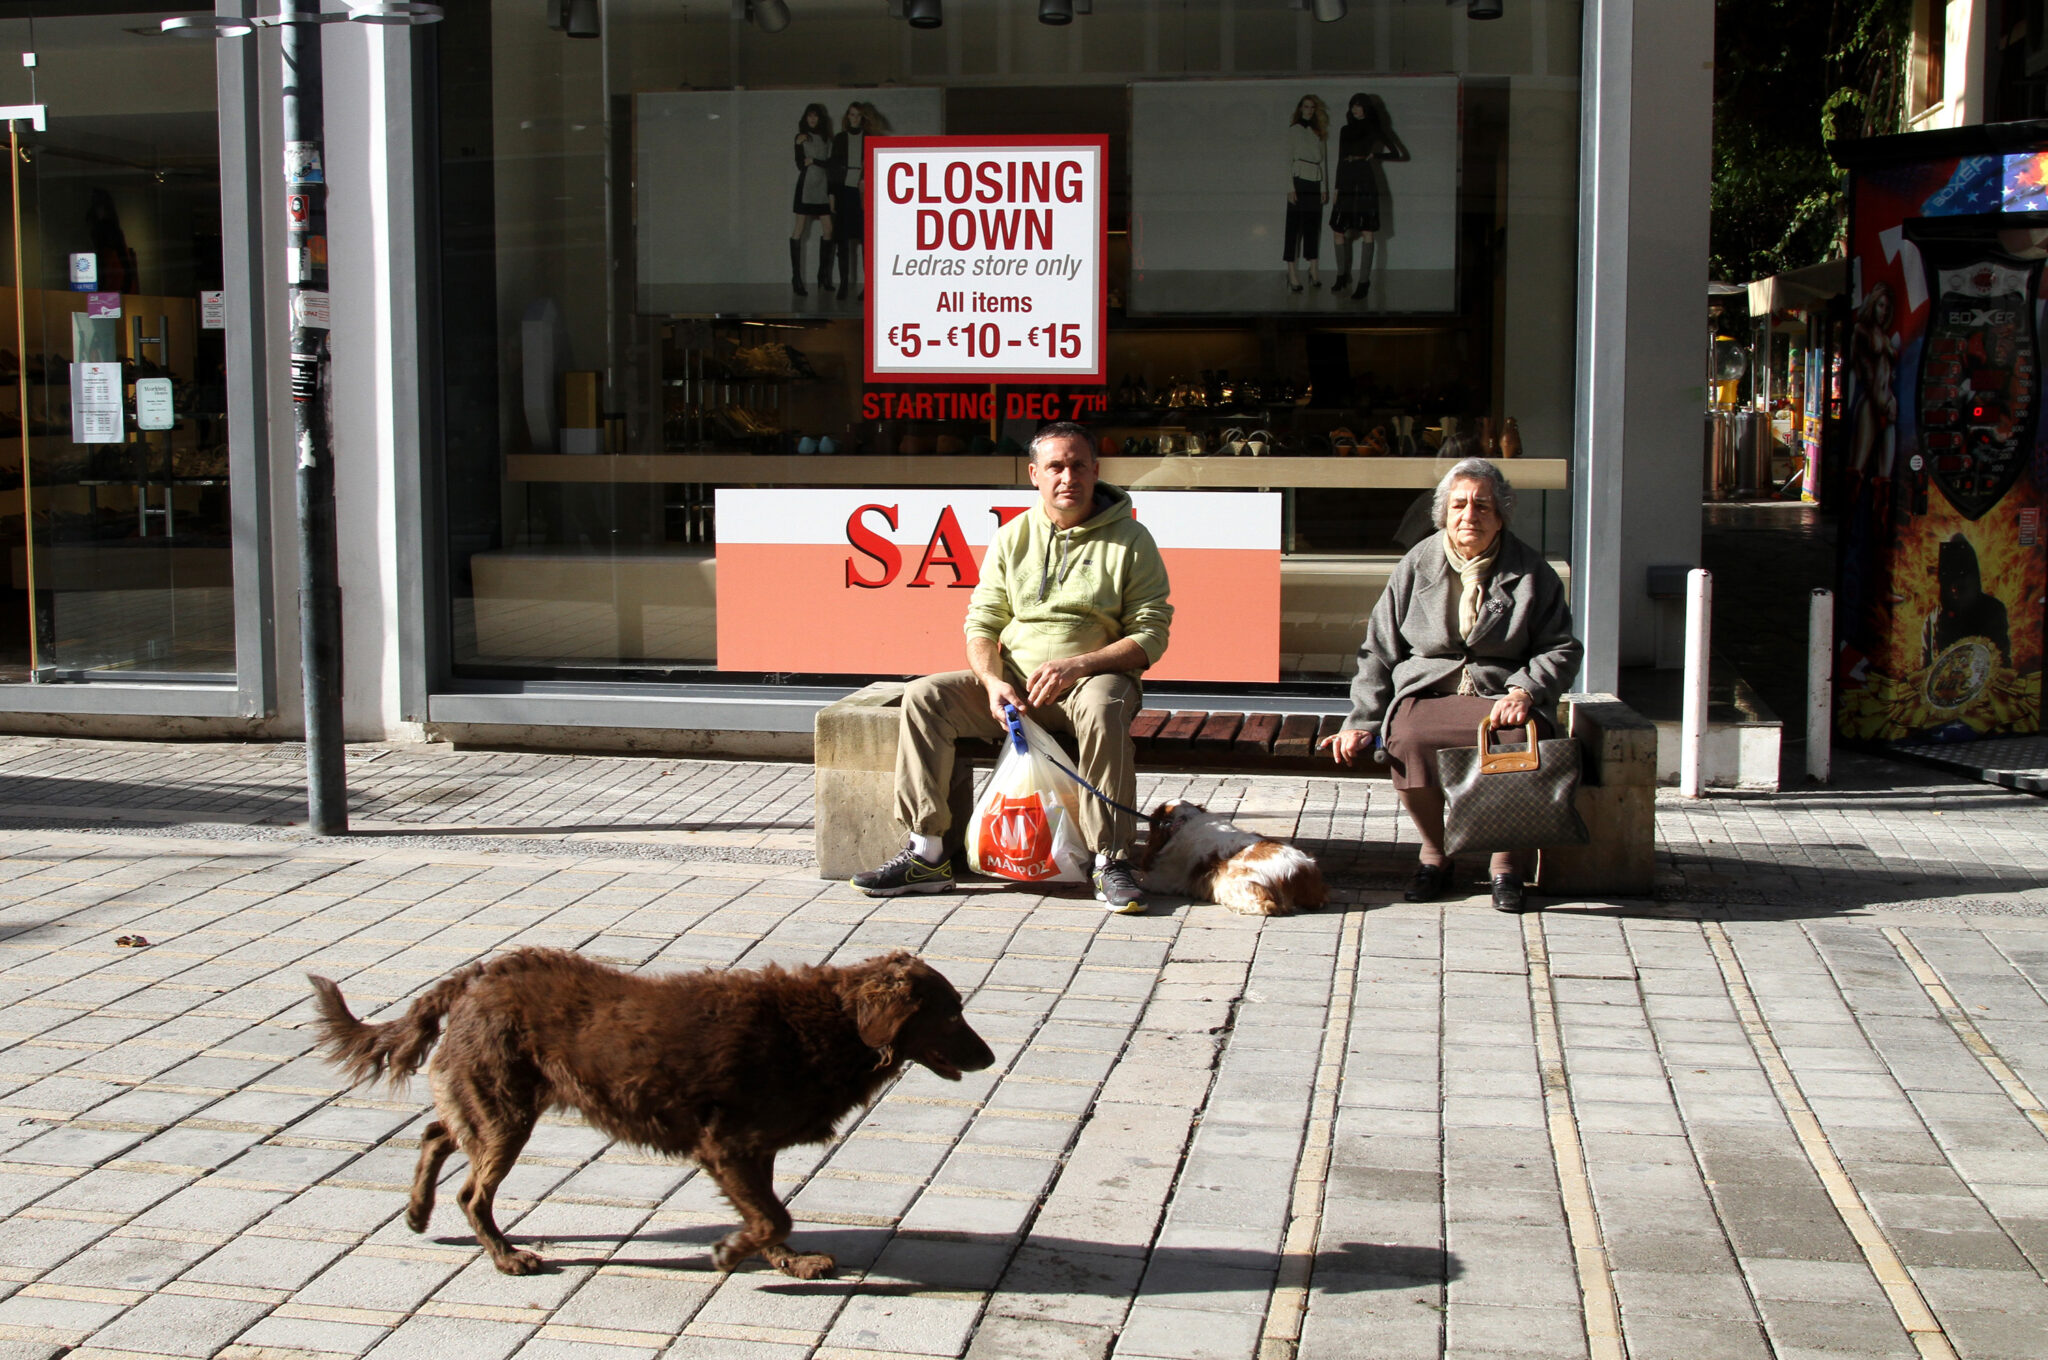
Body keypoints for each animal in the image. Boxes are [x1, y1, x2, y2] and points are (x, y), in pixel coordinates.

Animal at [305, 950, 999, 1278]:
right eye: (952, 1012)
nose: (993, 1056)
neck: (826, 1025)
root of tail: (477, 974)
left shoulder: (756, 1150)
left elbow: (774, 1217)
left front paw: (790, 1263)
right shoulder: (727, 1146)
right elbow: (771, 1216)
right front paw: (731, 1253)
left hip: (495, 1102)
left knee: (435, 1133)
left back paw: (417, 1213)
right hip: (506, 1115)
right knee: (472, 1191)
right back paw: (506, 1257)